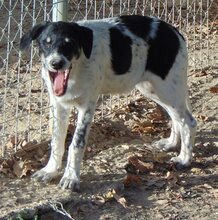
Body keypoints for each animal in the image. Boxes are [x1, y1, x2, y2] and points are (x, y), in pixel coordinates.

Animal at [20, 15, 198, 191]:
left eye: (69, 43)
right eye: (46, 42)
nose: (56, 64)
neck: (78, 68)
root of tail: (173, 31)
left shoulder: (87, 106)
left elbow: (76, 143)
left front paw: (71, 177)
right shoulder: (59, 105)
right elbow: (56, 140)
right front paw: (50, 170)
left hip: (166, 88)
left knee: (188, 122)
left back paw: (184, 159)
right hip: (154, 89)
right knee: (176, 118)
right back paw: (171, 143)